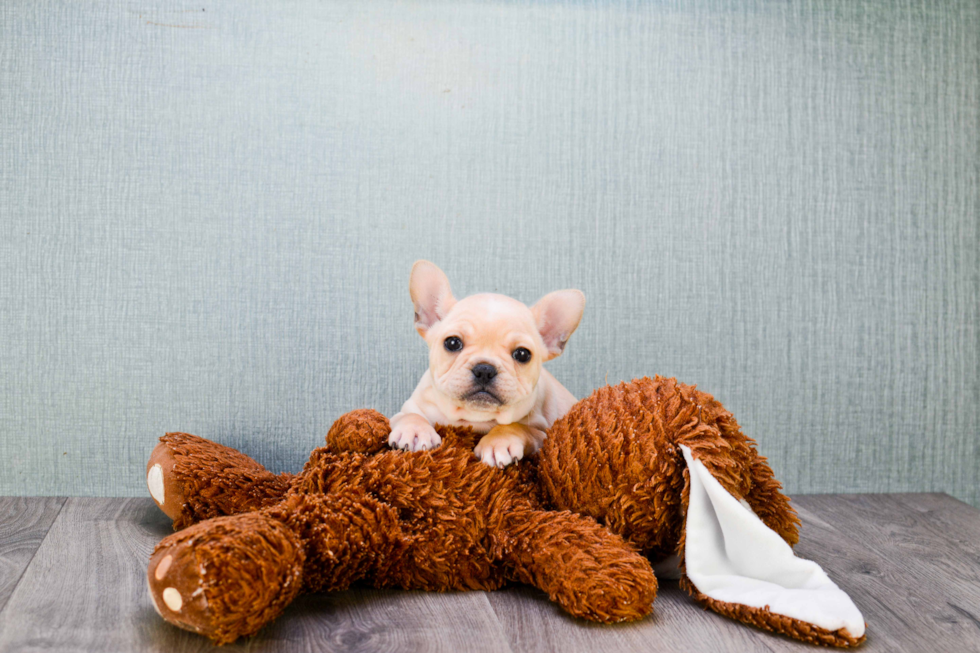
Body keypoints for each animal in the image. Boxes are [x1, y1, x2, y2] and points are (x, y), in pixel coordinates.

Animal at [390, 260, 584, 468]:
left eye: (523, 354)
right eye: (452, 343)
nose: (484, 369)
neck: (474, 418)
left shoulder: (543, 434)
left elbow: (517, 426)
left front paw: (499, 441)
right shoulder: (406, 410)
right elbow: (410, 415)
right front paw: (414, 430)